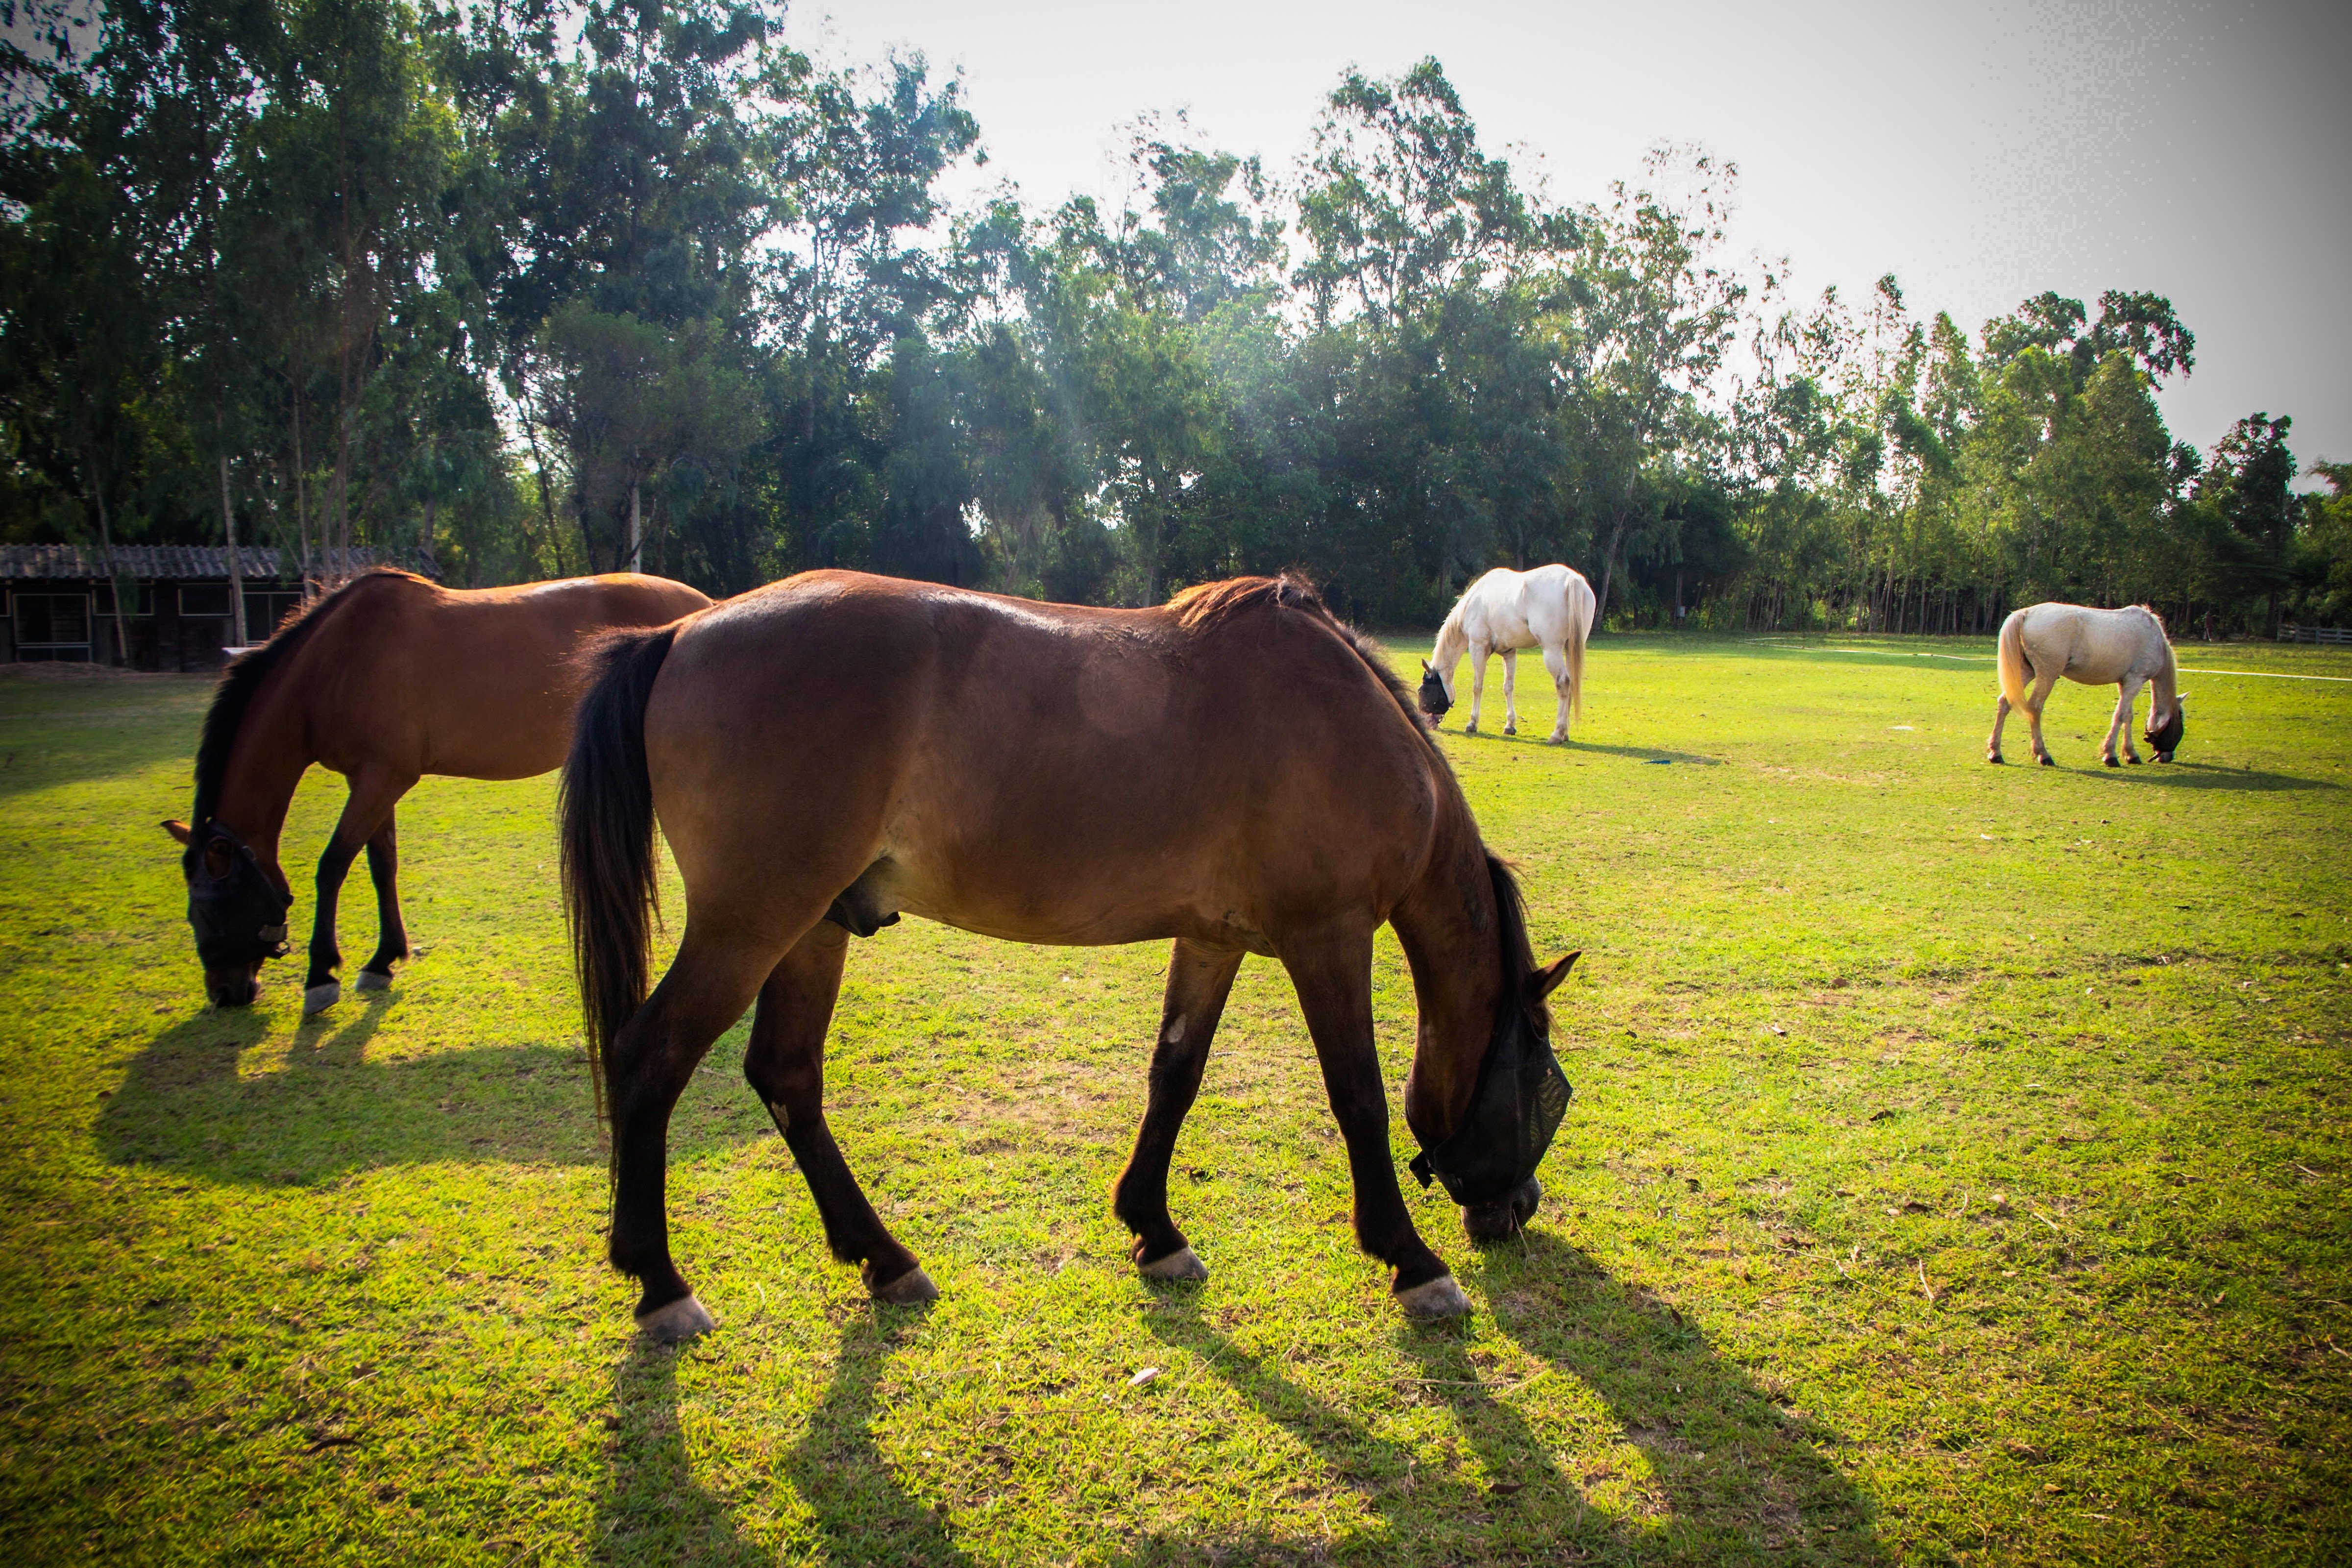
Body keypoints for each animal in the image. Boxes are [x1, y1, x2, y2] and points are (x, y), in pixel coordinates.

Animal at [162, 568, 710, 1013]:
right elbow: (381, 863)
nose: (225, 993)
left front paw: (321, 975)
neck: (336, 663)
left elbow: (333, 865)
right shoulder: (371, 779)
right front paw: (382, 960)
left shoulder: (383, 777)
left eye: (205, 912)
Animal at [560, 571, 1580, 1342]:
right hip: (752, 923)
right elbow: (1359, 1097)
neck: (1351, 725)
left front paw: (1155, 1230)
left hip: (811, 928)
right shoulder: (1326, 939)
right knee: (651, 1059)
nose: (1519, 1210)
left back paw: (885, 1260)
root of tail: (682, 631)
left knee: (786, 1077)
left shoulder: (1213, 940)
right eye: (1543, 1084)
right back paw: (661, 1284)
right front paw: (1412, 1261)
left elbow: (1176, 1073)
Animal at [1416, 564, 1595, 742]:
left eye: (1422, 691)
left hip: (1552, 650)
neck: (1474, 603)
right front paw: (1510, 726)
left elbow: (1477, 687)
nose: (1428, 724)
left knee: (1563, 682)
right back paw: (1565, 734)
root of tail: (1572, 579)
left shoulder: (1477, 649)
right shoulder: (1509, 653)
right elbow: (1508, 687)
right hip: (1570, 649)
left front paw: (1472, 723)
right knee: (1571, 684)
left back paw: (1557, 734)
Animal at [1987, 602, 2186, 767]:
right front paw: (2111, 755)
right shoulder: (2135, 680)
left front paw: (2131, 754)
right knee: (2035, 707)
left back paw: (1996, 753)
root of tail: (2026, 613)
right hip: (2047, 675)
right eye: (2181, 718)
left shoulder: (2125, 683)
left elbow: (2128, 716)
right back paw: (2044, 754)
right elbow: (2121, 715)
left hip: (2026, 671)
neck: (2154, 638)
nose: (2167, 756)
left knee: (2005, 702)